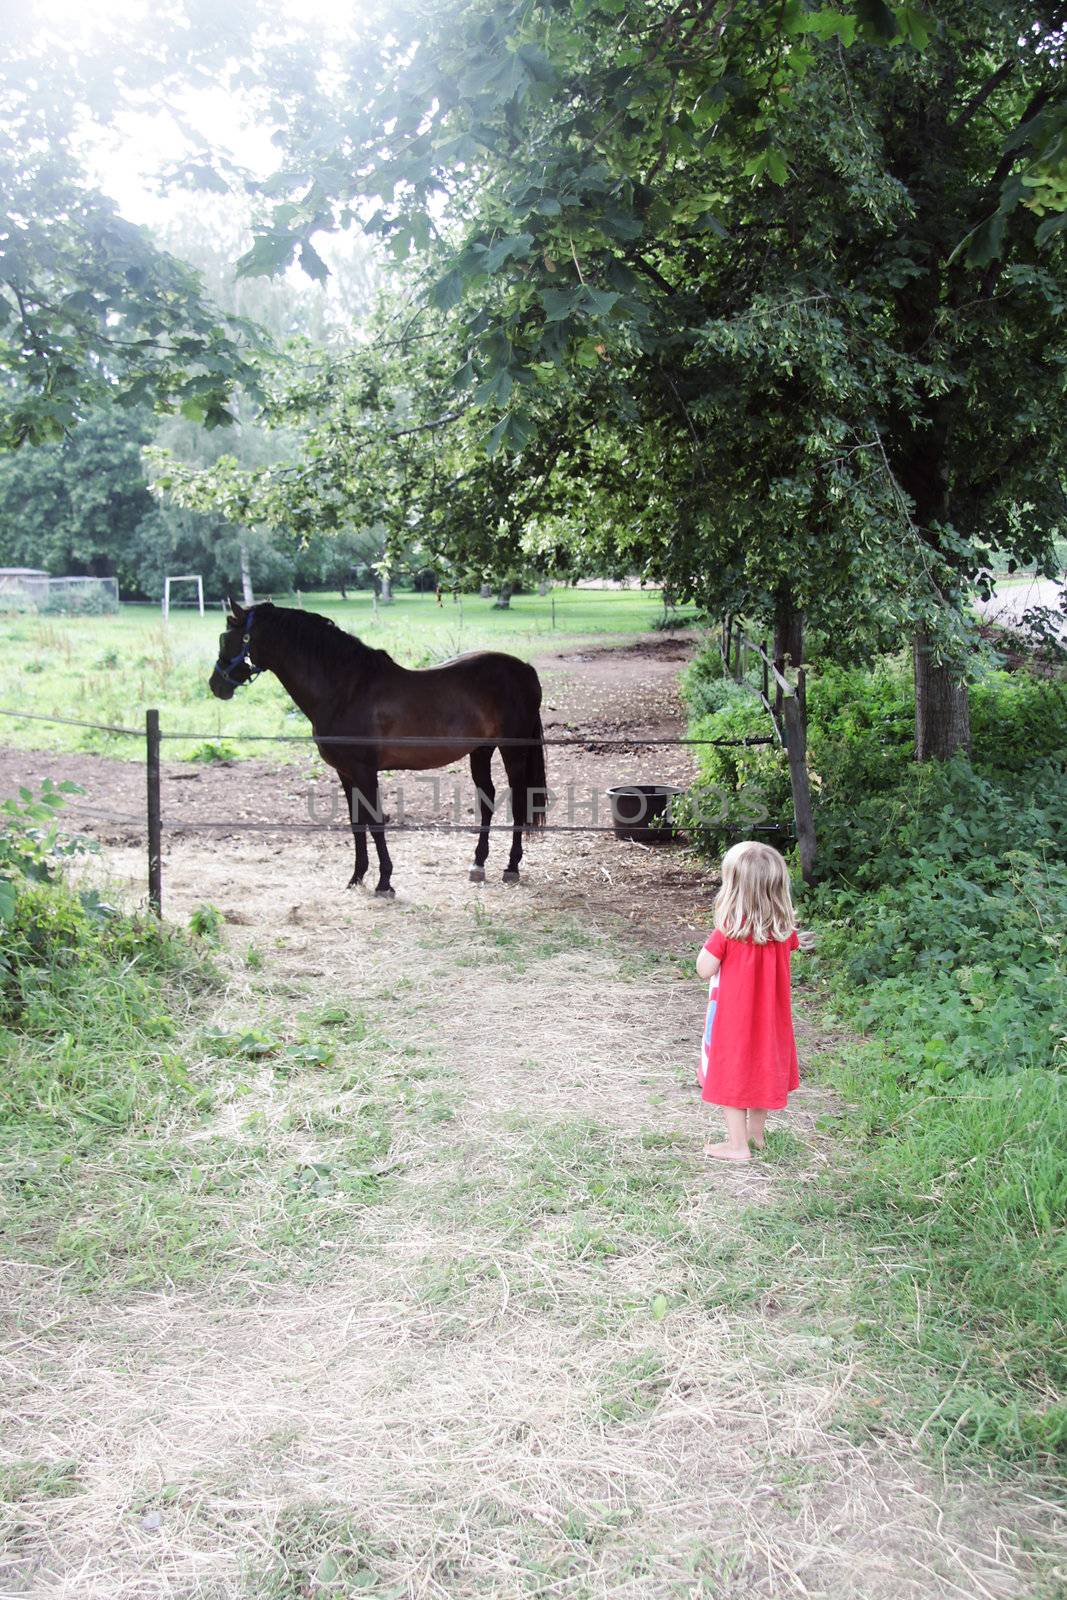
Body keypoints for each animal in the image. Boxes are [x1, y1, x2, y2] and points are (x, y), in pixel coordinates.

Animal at [207, 601, 547, 896]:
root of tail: (525, 669)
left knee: (519, 800)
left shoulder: (365, 771)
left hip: (513, 751)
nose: (216, 684)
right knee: (487, 799)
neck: (345, 690)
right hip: (481, 750)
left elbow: (375, 822)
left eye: (227, 638)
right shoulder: (345, 773)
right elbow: (357, 824)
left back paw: (511, 867)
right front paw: (356, 877)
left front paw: (385, 882)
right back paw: (478, 864)